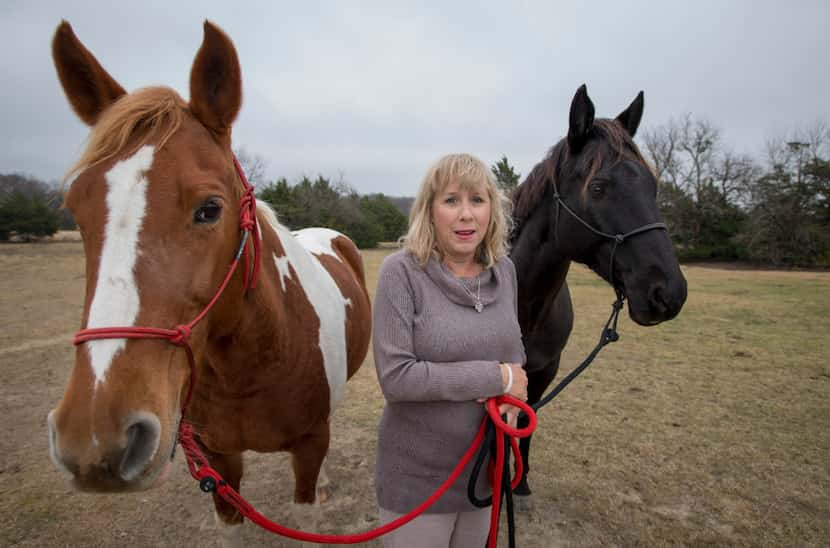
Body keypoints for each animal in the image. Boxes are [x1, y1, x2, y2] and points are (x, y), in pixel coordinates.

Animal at [45, 20, 370, 544]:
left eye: (210, 209)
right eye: (76, 208)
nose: (94, 439)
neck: (254, 363)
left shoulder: (309, 444)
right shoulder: (218, 459)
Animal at [512, 84, 688, 506]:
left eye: (653, 186)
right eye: (597, 187)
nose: (669, 293)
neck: (527, 308)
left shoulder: (544, 371)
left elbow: (526, 421)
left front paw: (519, 484)